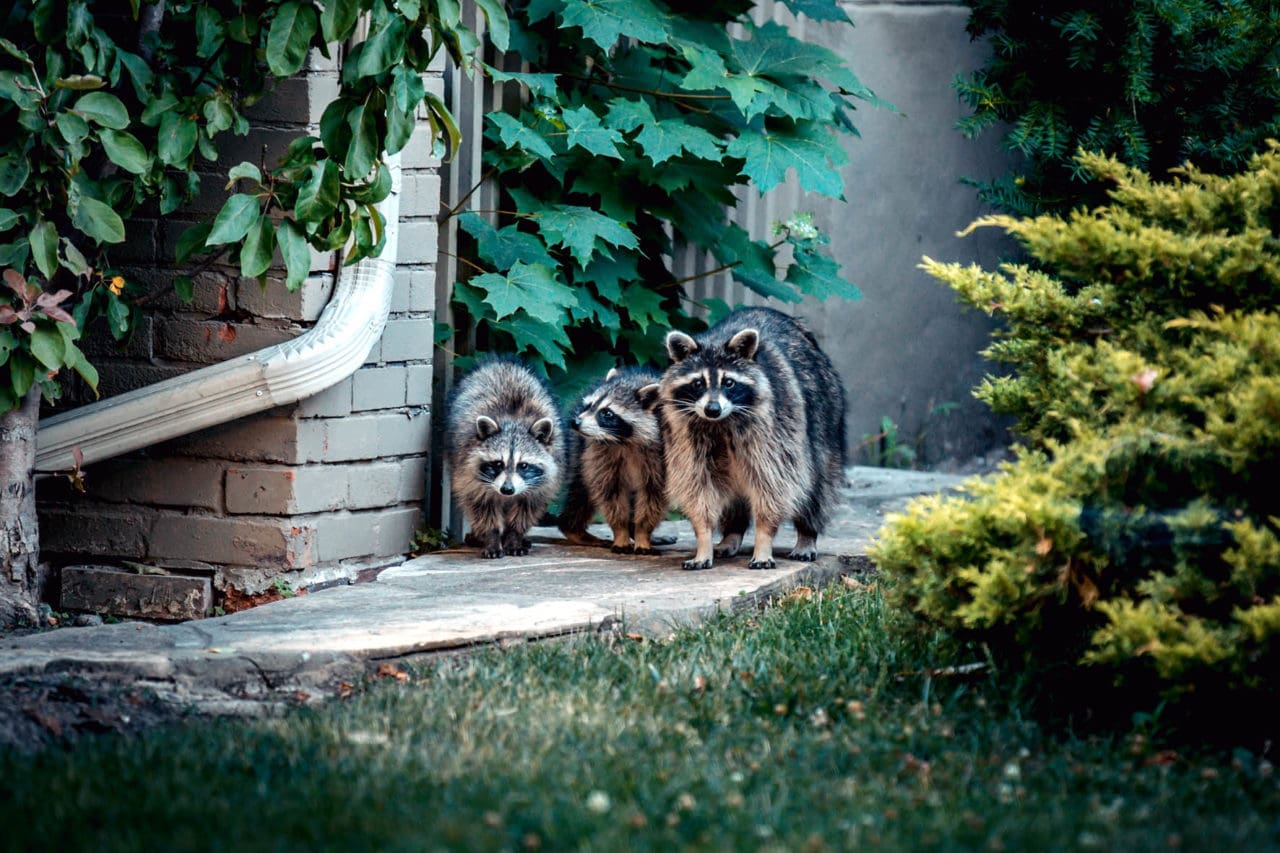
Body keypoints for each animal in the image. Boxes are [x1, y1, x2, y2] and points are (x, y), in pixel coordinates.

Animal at [445, 356, 565, 558]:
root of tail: (503, 362)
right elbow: (480, 506)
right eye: (498, 464)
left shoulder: (542, 482)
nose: (507, 490)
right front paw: (492, 537)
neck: (514, 421)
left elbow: (526, 510)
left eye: (523, 465)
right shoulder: (468, 470)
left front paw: (514, 536)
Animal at [565, 363, 675, 550]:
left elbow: (653, 495)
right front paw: (621, 531)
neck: (625, 441)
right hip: (578, 448)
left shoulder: (663, 455)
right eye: (589, 405)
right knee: (581, 491)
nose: (575, 422)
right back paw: (573, 529)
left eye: (607, 413)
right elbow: (610, 492)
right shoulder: (600, 452)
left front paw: (642, 533)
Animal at [655, 307, 844, 571]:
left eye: (729, 383)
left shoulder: (775, 430)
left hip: (825, 414)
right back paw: (731, 535)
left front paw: (764, 539)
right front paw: (704, 539)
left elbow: (774, 484)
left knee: (817, 485)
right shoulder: (686, 434)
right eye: (698, 383)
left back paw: (807, 534)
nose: (712, 409)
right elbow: (698, 486)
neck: (721, 423)